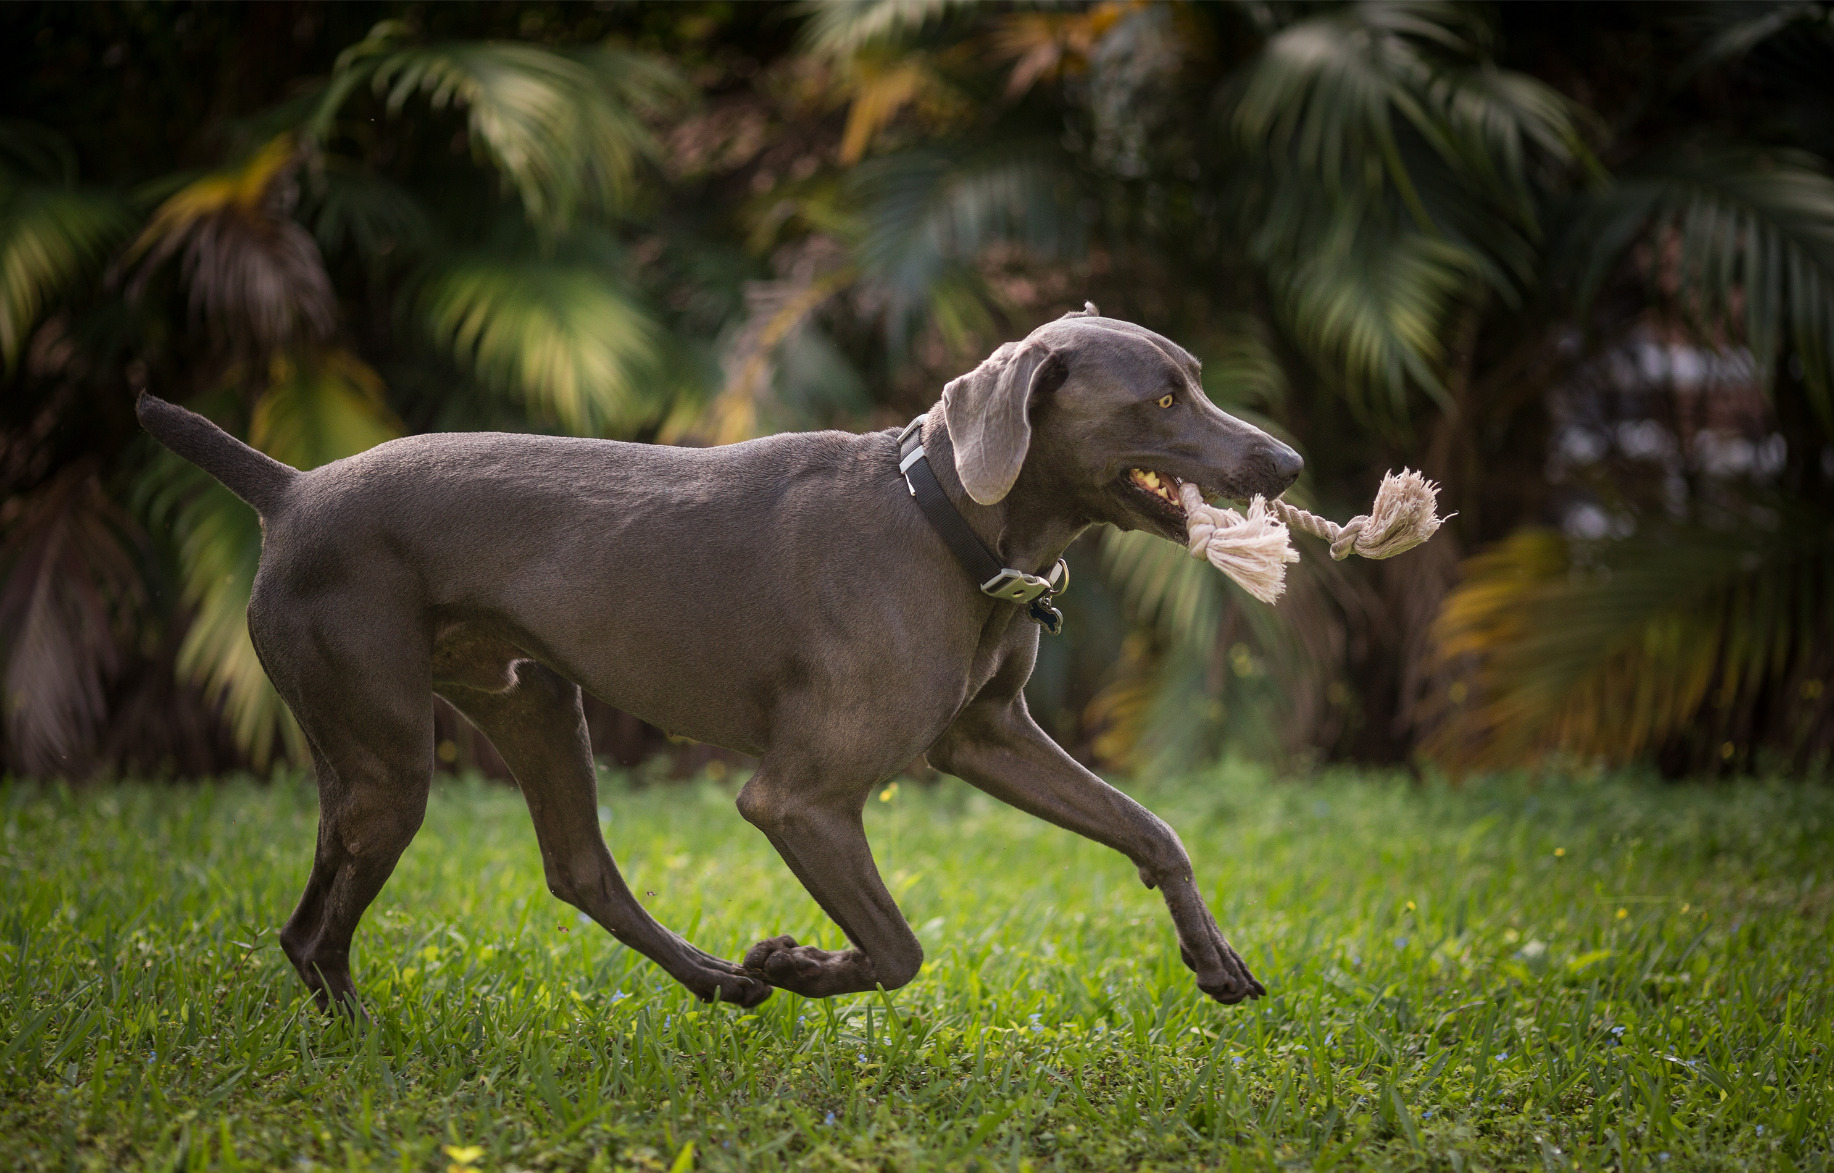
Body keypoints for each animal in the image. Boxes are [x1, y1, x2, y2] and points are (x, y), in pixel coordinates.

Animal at [135, 307, 1298, 1011]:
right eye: (1160, 399)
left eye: (1196, 381)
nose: (1287, 460)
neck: (946, 520)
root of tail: (290, 487)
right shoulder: (799, 799)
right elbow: (897, 949)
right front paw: (799, 961)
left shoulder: (987, 739)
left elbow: (1152, 830)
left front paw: (1214, 958)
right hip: (385, 755)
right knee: (317, 932)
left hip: (527, 700)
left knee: (575, 872)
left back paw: (713, 981)